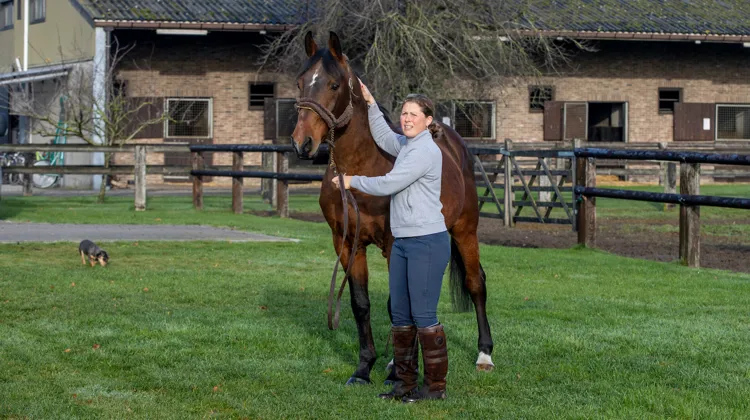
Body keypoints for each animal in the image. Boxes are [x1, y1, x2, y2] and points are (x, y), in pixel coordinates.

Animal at [291, 31, 494, 385]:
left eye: (333, 84)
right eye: (301, 81)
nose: (302, 142)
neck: (362, 169)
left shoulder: (393, 244)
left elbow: (395, 303)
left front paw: (397, 372)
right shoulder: (347, 243)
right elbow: (361, 303)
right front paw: (364, 368)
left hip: (466, 229)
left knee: (475, 283)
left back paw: (484, 355)